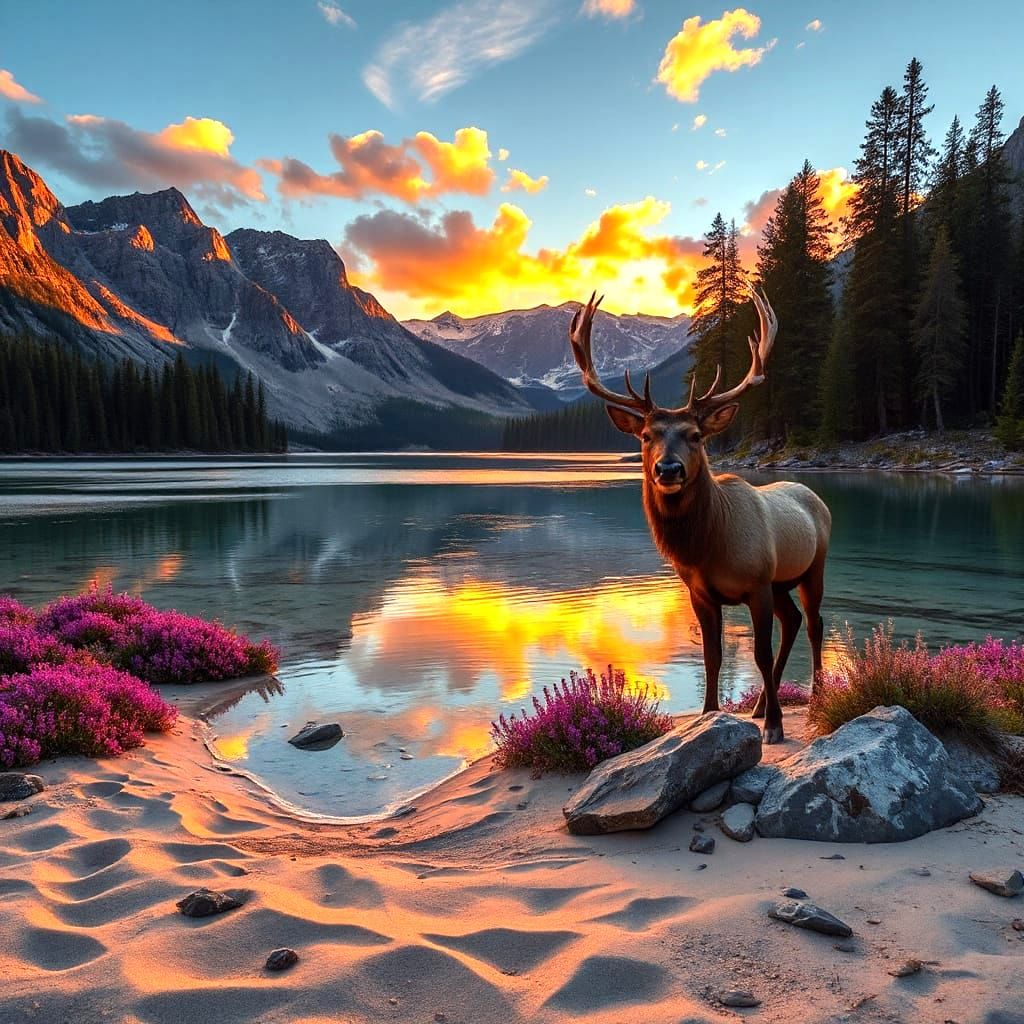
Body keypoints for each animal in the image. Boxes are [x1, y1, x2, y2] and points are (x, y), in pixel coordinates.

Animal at [567, 288, 830, 743]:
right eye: (646, 435)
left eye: (695, 435)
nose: (668, 469)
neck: (709, 548)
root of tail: (816, 497)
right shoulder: (700, 592)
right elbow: (712, 656)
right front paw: (710, 715)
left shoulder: (757, 584)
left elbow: (758, 653)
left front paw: (775, 727)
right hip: (782, 583)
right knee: (794, 621)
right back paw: (760, 704)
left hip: (812, 567)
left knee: (814, 624)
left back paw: (813, 698)